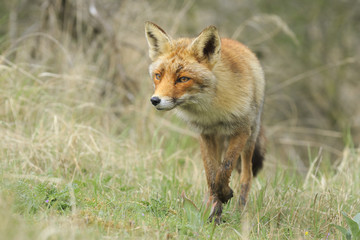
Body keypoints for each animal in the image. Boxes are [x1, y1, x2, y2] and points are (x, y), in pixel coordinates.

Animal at [145, 22, 266, 223]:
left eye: (183, 79)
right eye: (158, 75)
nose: (155, 100)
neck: (212, 110)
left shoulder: (241, 130)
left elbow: (225, 169)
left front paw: (225, 194)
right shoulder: (205, 132)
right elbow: (212, 175)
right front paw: (215, 207)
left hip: (251, 137)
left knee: (246, 176)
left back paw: (240, 210)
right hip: (219, 139)